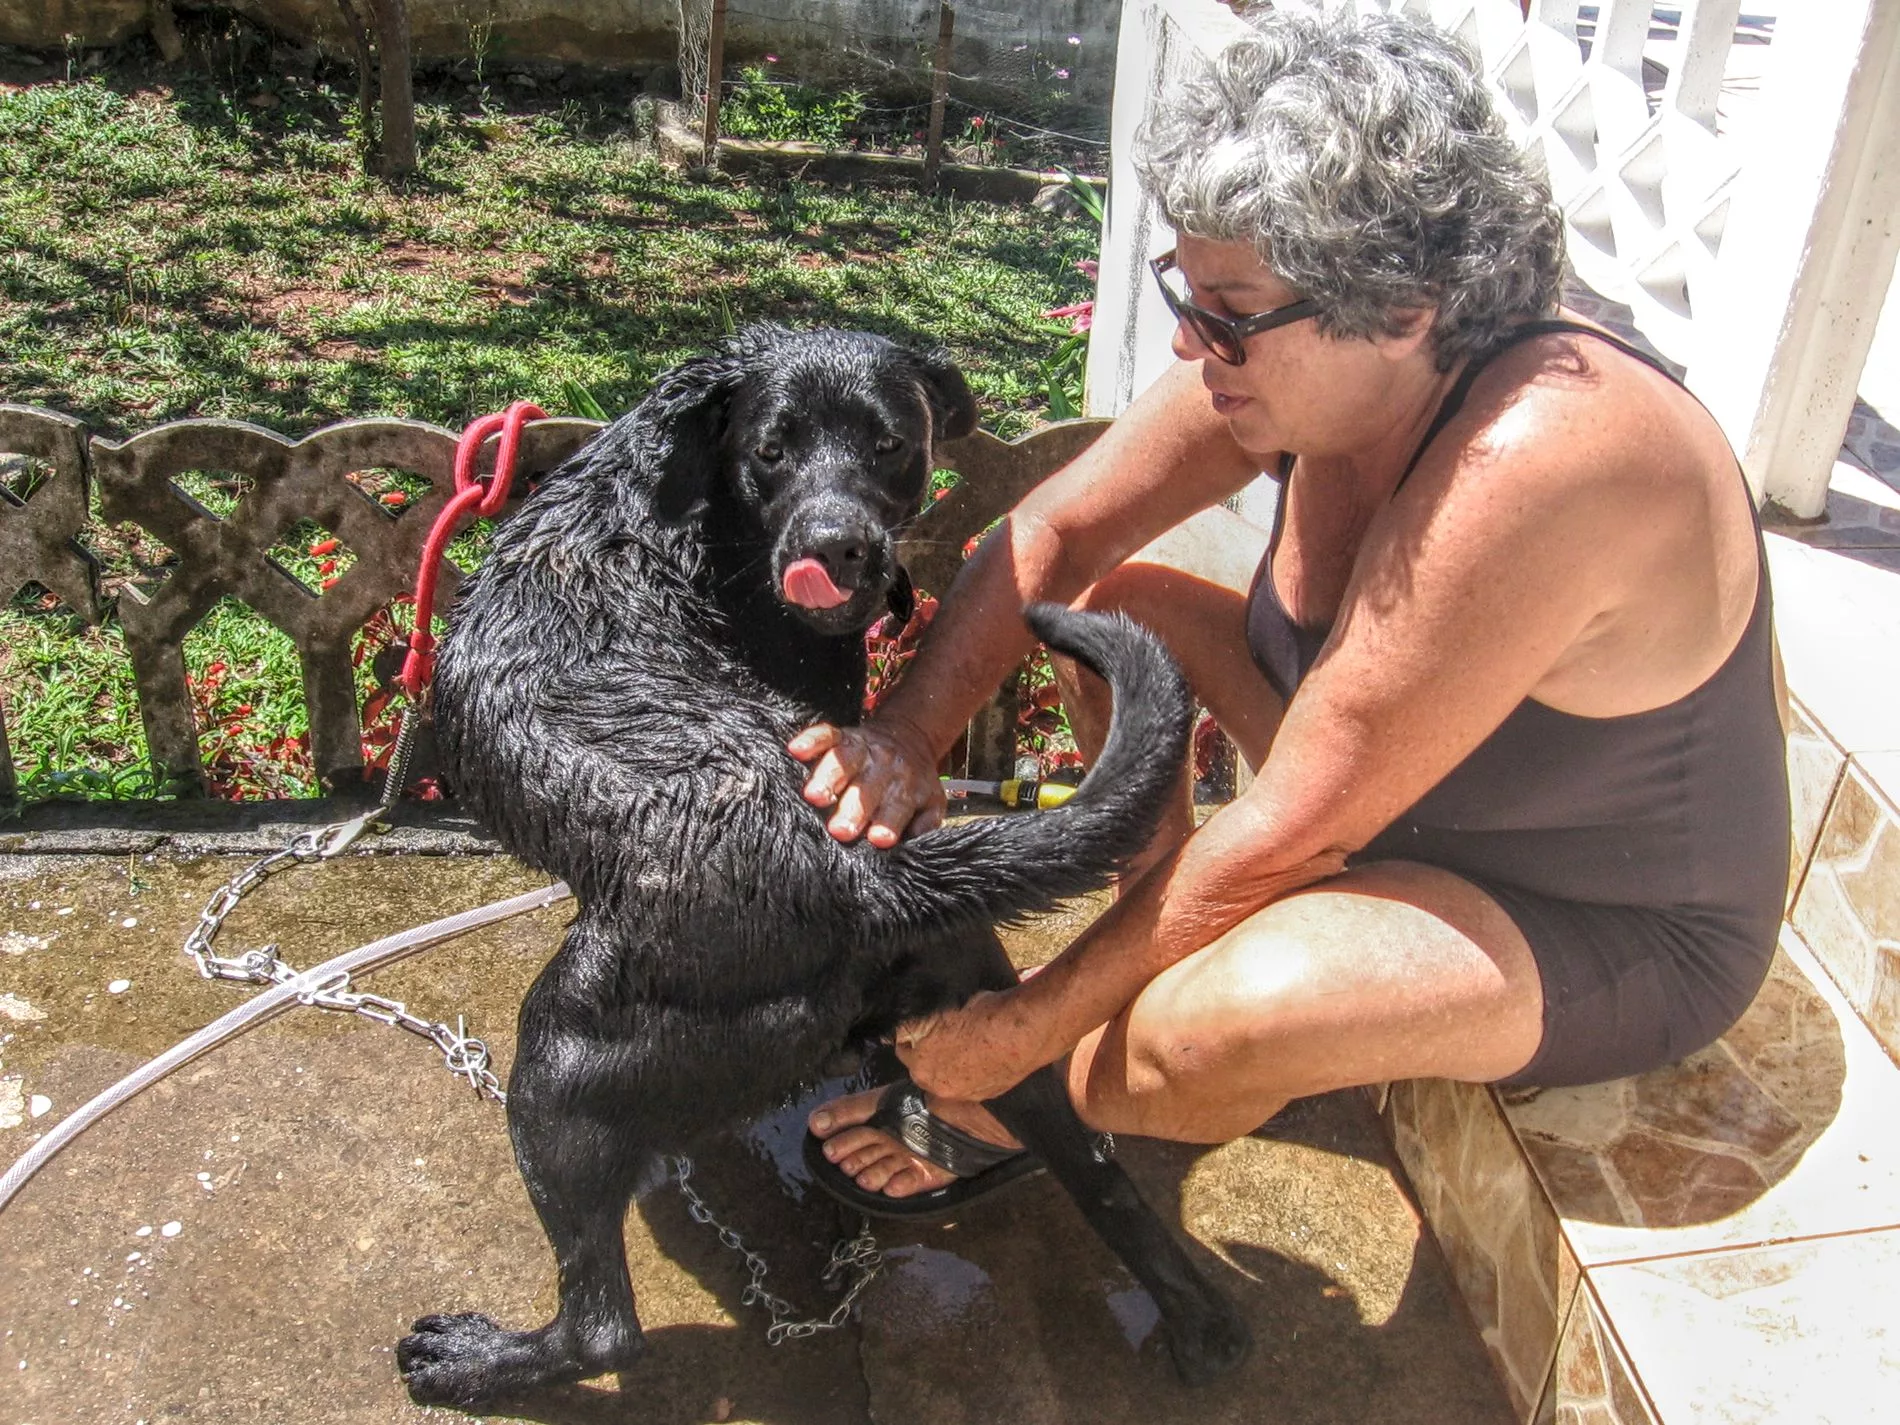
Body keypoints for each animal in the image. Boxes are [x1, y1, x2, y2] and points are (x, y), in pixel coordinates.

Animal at [399, 325, 1250, 1407]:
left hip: (562, 1057)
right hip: (983, 1001)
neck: (679, 499)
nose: (839, 547)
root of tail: (859, 875)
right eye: (771, 449)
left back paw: (480, 1360)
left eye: (891, 446)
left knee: (603, 1328)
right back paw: (1199, 1326)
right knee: (1096, 1163)